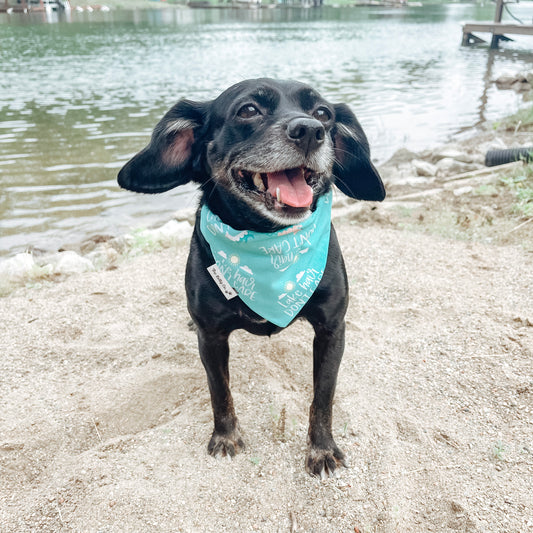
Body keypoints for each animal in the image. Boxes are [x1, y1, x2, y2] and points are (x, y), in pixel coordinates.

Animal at [117, 77, 382, 476]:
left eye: (323, 112)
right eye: (248, 110)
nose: (310, 131)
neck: (269, 245)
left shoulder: (332, 329)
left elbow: (323, 397)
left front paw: (321, 449)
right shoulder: (211, 337)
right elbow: (219, 391)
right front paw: (226, 438)